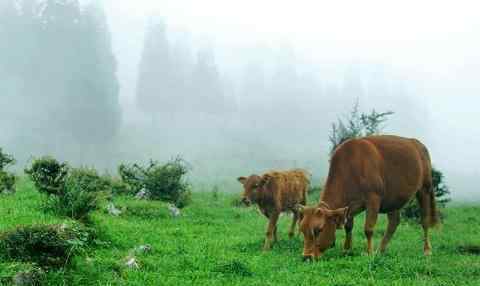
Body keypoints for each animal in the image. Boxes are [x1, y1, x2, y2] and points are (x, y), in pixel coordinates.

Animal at [298, 135, 436, 260]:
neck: (351, 168)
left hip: (425, 189)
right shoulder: (350, 206)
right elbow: (348, 226)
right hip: (393, 198)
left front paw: (369, 252)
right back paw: (380, 250)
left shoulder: (373, 199)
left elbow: (368, 229)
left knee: (425, 221)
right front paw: (347, 250)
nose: (306, 257)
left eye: (318, 230)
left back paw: (427, 250)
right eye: (302, 229)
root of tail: (417, 143)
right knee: (394, 222)